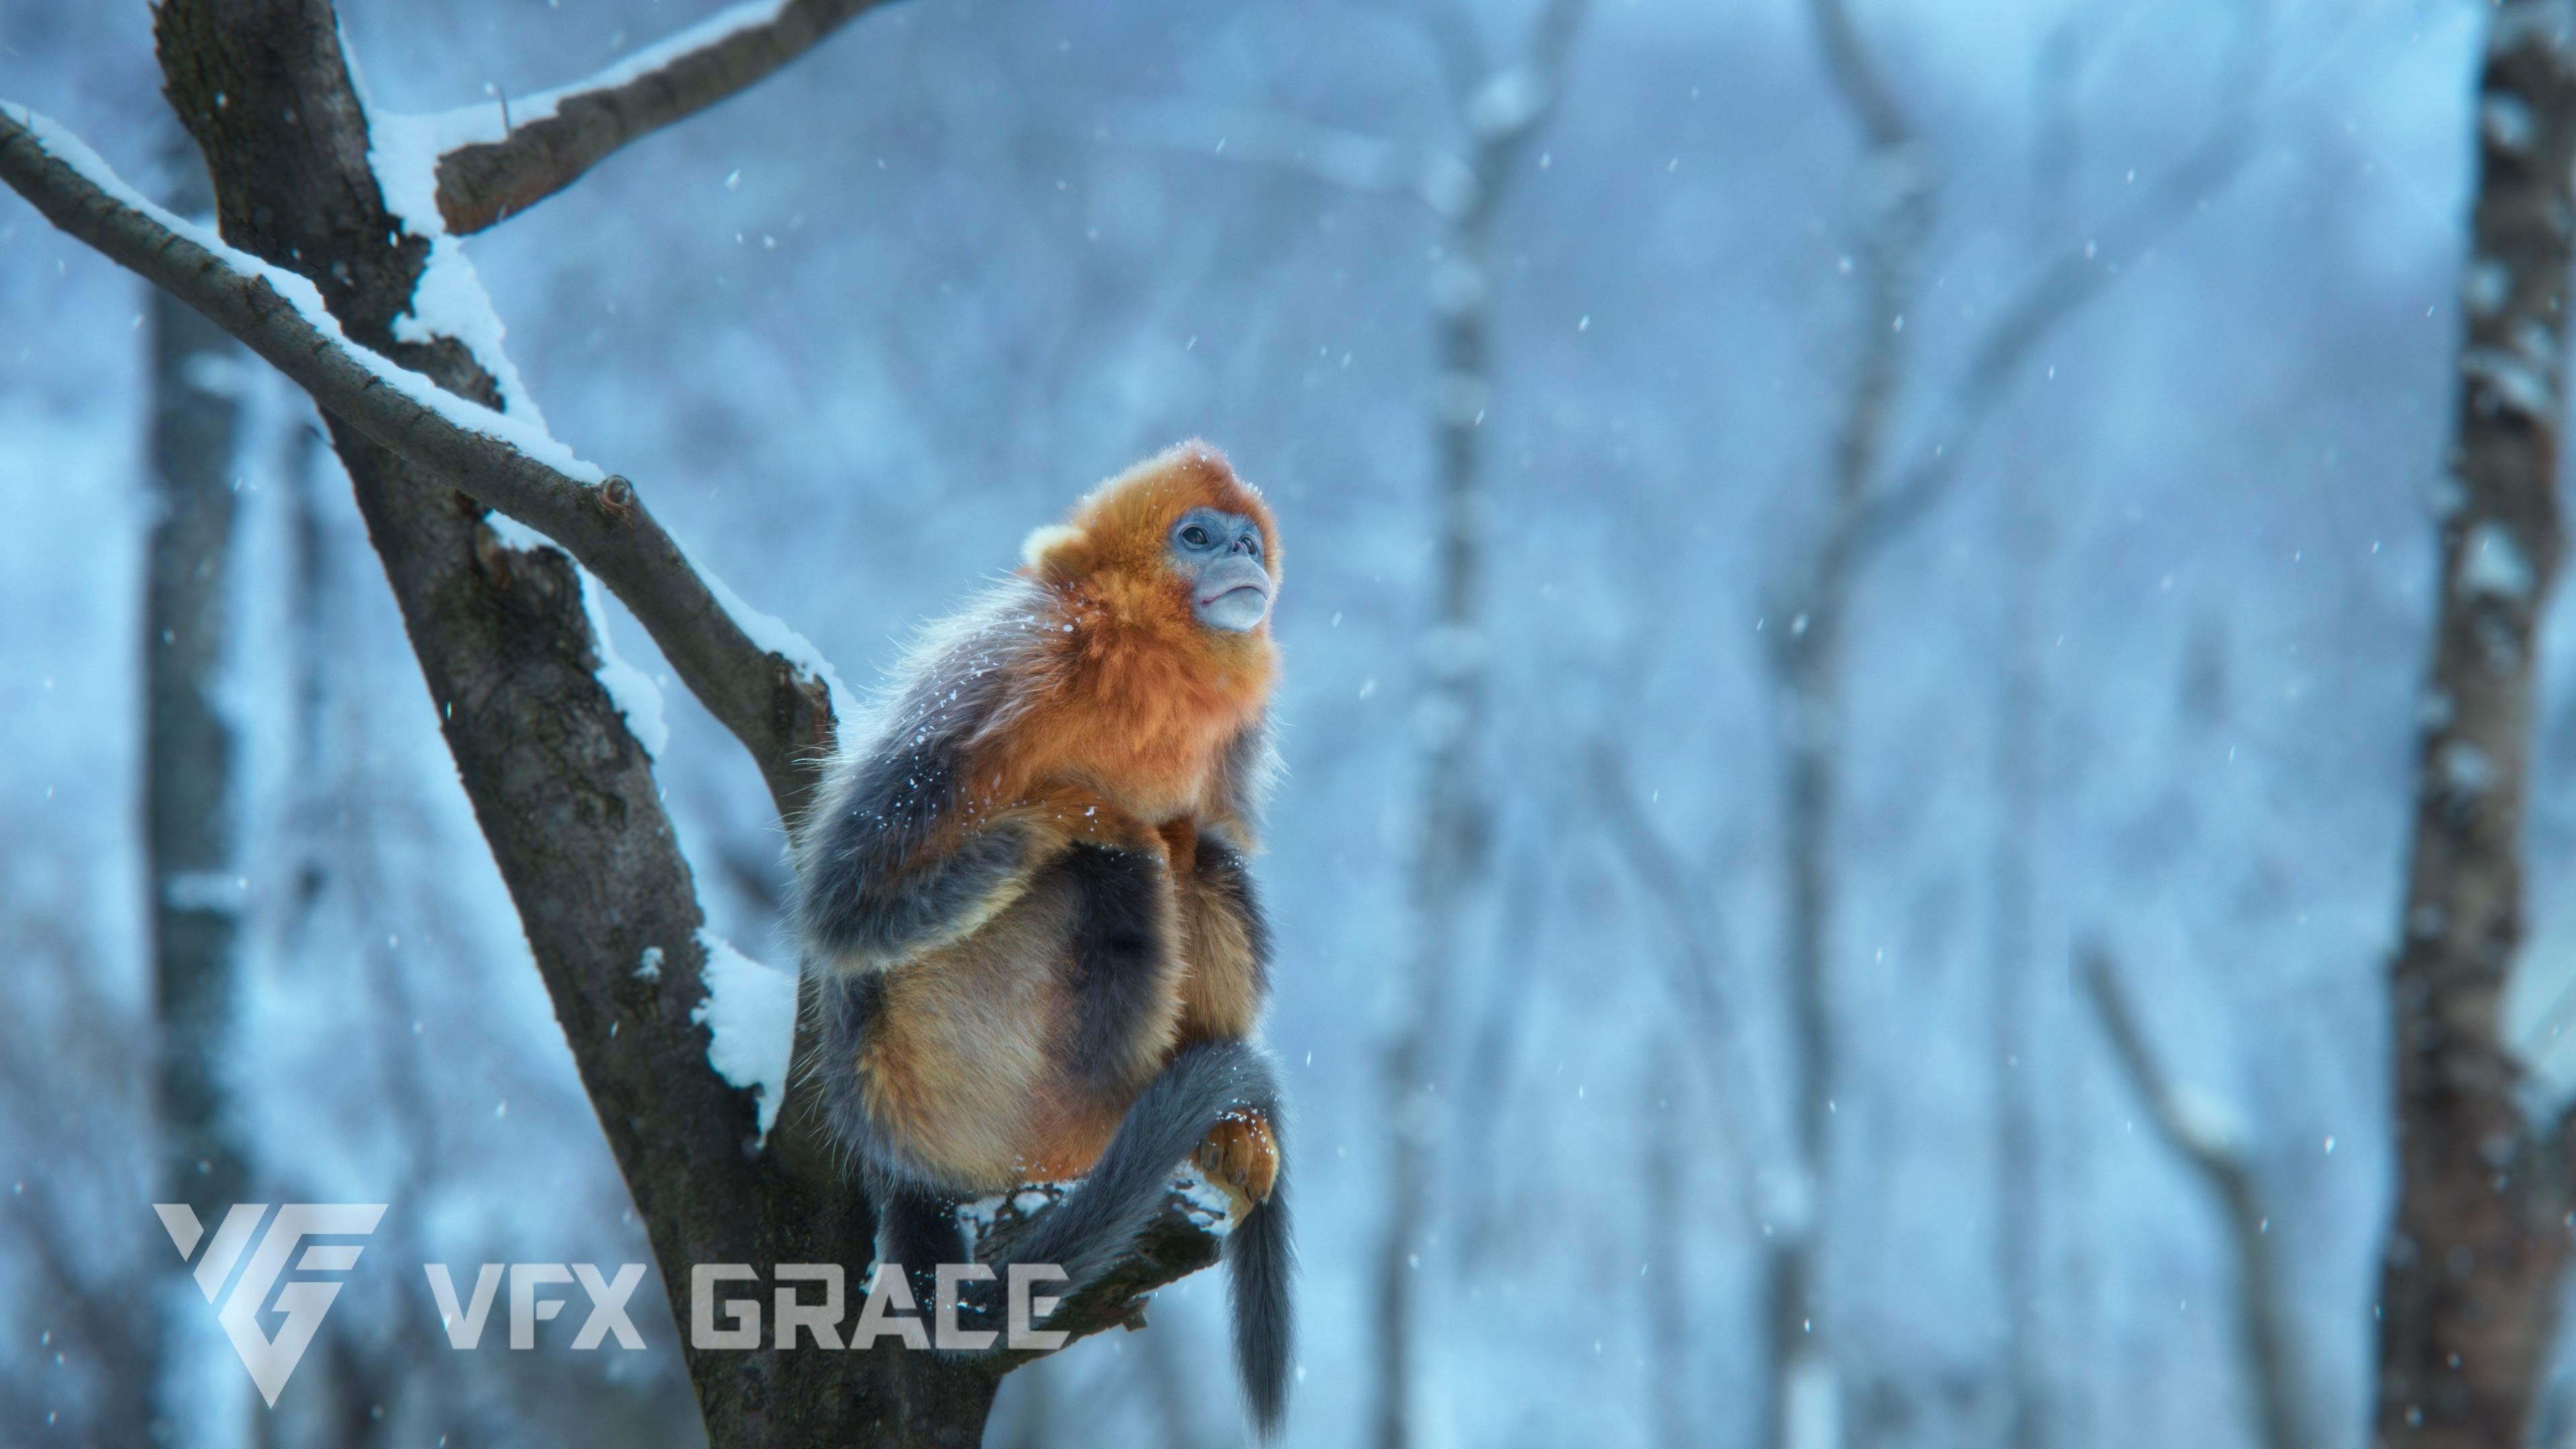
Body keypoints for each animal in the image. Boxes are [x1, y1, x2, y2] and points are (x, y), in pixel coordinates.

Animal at [792, 440, 1293, 1436]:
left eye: (1247, 541)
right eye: (1198, 537)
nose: (1239, 557)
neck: (1139, 659)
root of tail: (893, 1156)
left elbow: (1201, 837)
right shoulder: (1011, 663)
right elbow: (840, 908)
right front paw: (1078, 809)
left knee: (1201, 856)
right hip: (951, 1068)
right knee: (1118, 867)